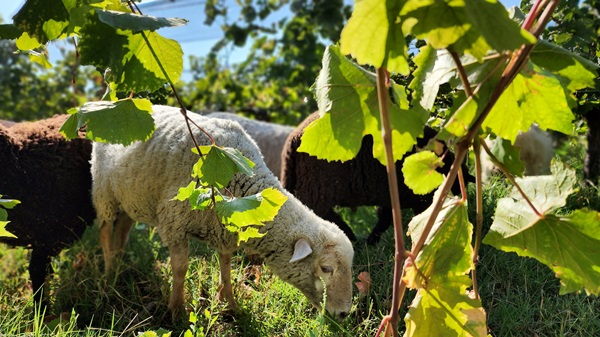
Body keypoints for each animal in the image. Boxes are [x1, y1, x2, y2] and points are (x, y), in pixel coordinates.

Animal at [91, 104, 354, 318]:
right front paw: (177, 310)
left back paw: (119, 261)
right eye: (326, 269)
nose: (343, 314)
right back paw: (109, 273)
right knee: (104, 228)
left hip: (132, 196)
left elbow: (226, 265)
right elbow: (181, 268)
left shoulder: (226, 229)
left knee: (123, 226)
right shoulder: (174, 223)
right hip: (104, 191)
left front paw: (229, 303)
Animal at [278, 111, 472, 243]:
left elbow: (385, 217)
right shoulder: (416, 198)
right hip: (316, 188)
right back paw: (348, 236)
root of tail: (294, 139)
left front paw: (372, 240)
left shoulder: (390, 196)